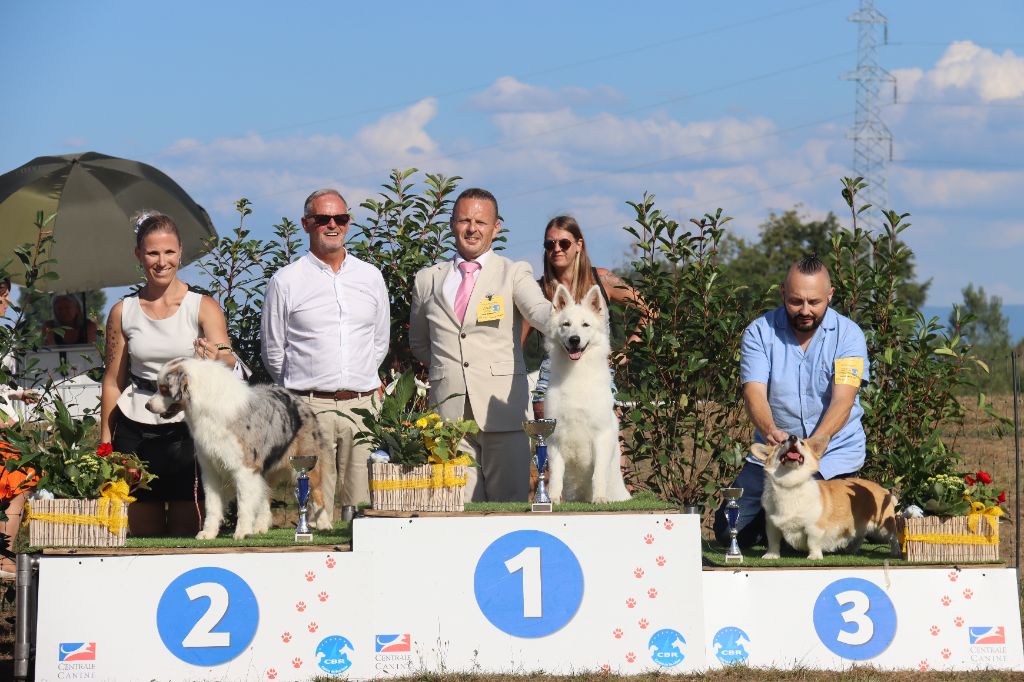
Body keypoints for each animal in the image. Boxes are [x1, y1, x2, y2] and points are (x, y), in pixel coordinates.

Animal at [146, 358, 329, 540]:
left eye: (164, 389)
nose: (147, 405)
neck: (206, 407)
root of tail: (297, 398)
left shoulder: (244, 469)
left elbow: (244, 504)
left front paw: (242, 532)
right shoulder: (210, 471)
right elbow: (212, 506)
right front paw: (208, 533)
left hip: (306, 463)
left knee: (318, 493)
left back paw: (324, 525)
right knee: (265, 497)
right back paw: (260, 527)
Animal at [544, 278, 630, 501]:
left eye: (585, 325)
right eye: (566, 325)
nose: (574, 339)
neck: (576, 375)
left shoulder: (601, 435)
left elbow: (598, 473)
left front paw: (599, 499)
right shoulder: (555, 437)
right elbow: (556, 474)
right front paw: (553, 499)